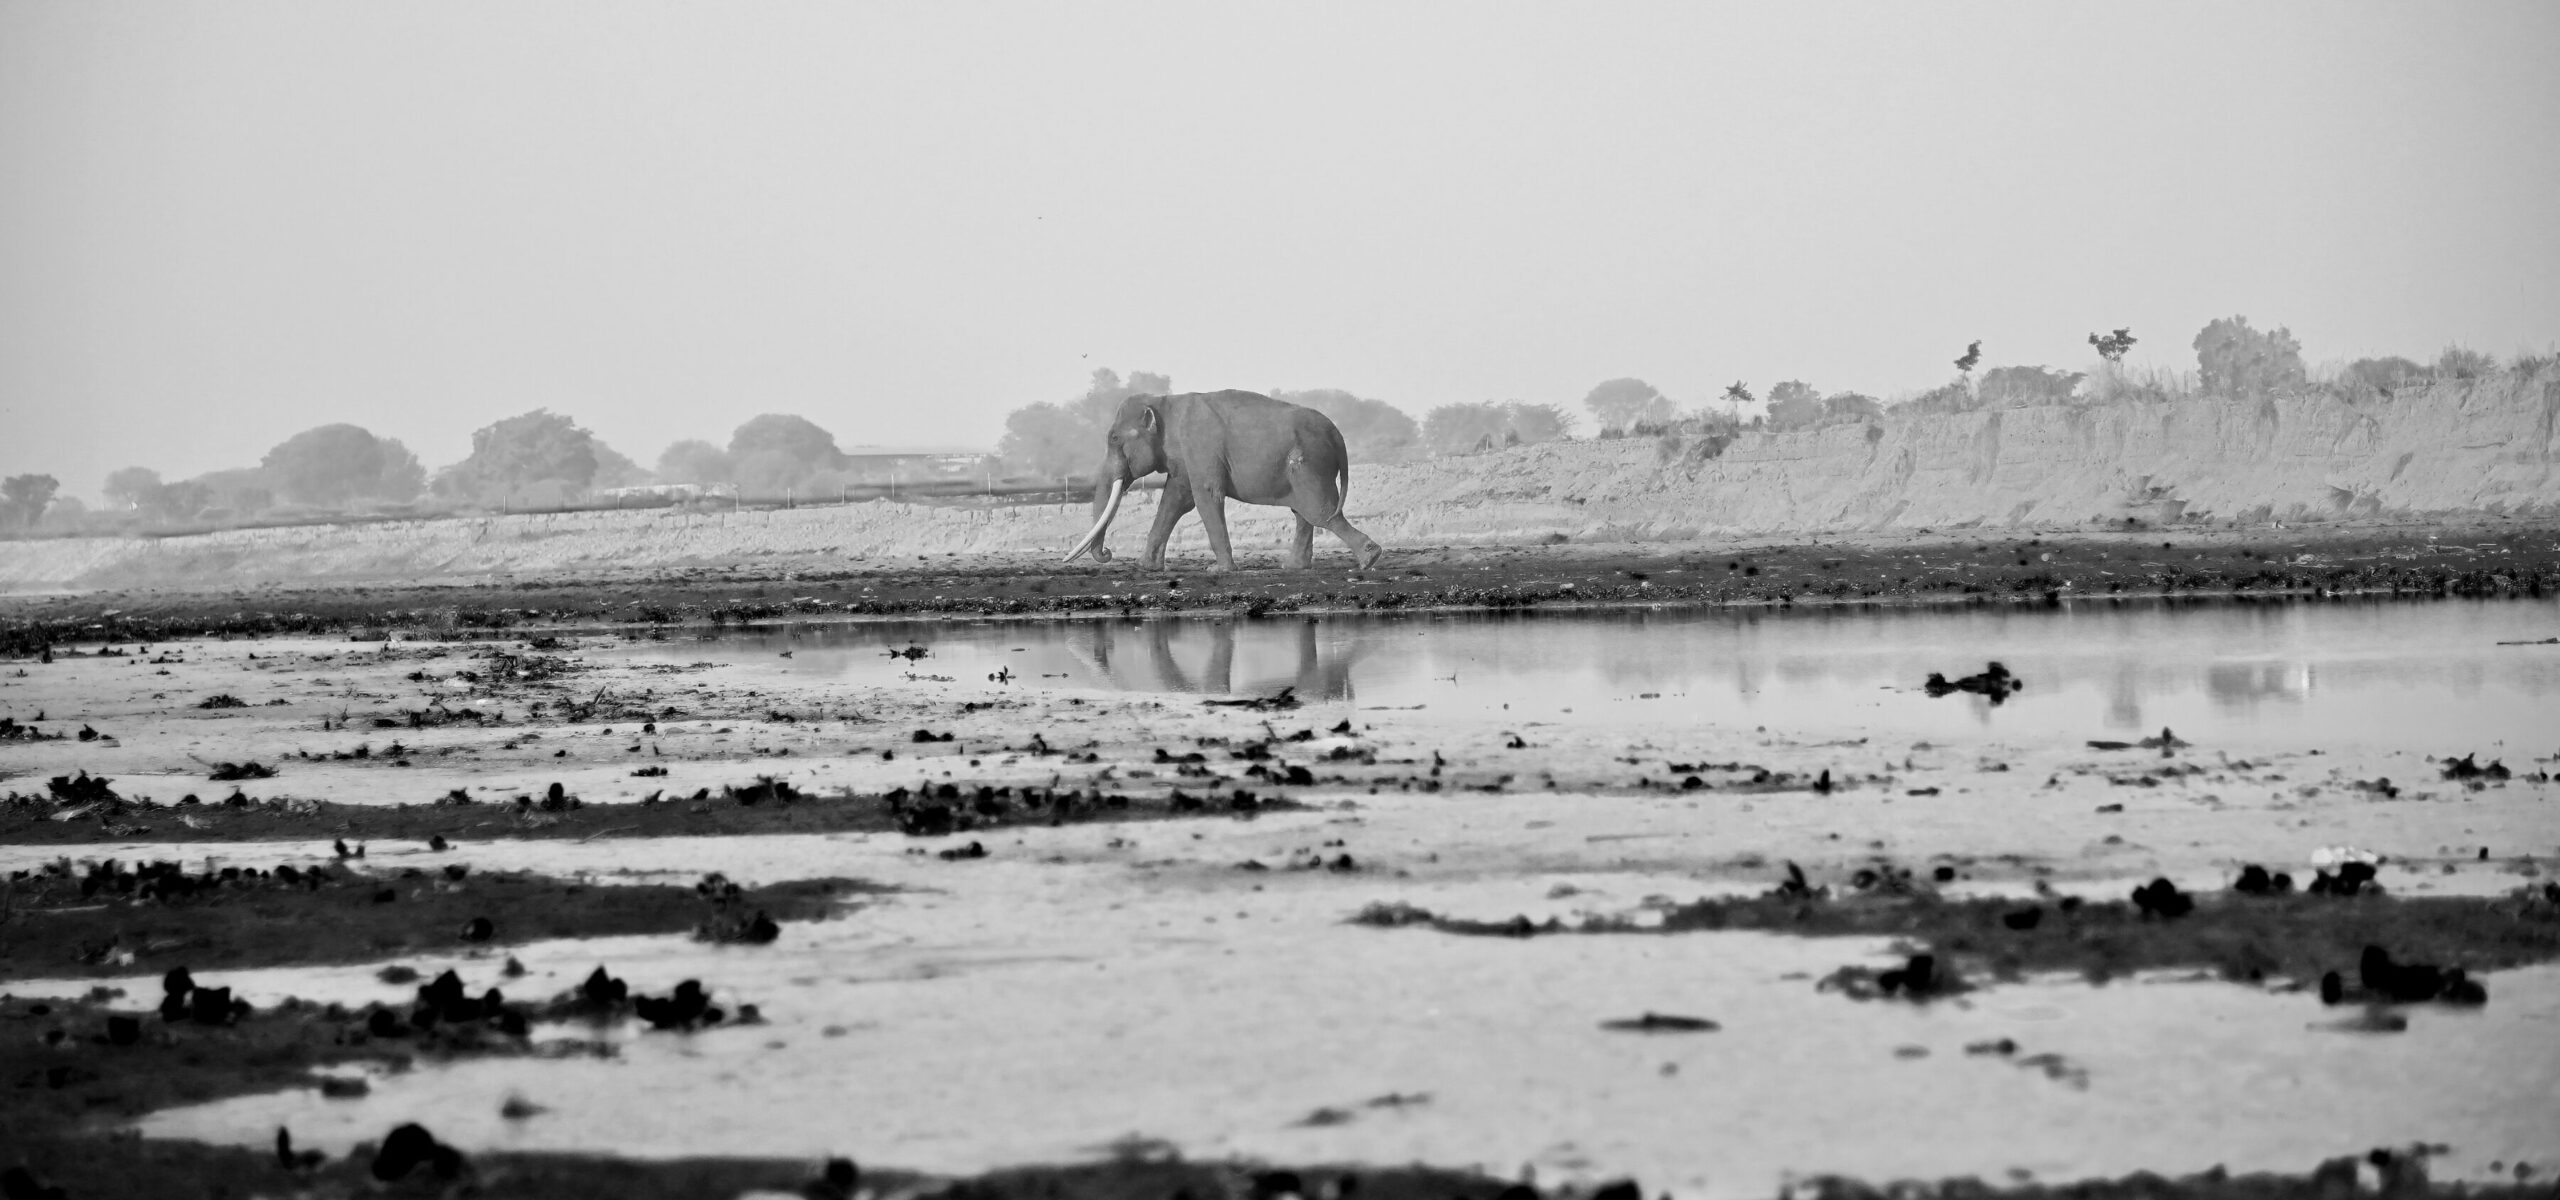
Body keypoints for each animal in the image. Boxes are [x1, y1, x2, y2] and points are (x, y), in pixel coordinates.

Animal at [1063, 390, 1383, 571]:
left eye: (1114, 439)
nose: (1107, 553)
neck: (1166, 402)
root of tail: (1337, 434)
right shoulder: (1185, 456)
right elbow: (1176, 498)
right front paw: (1146, 568)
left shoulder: (1201, 447)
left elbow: (1205, 496)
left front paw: (1218, 571)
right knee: (1304, 513)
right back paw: (1293, 567)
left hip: (1310, 464)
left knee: (1321, 512)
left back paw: (1370, 558)